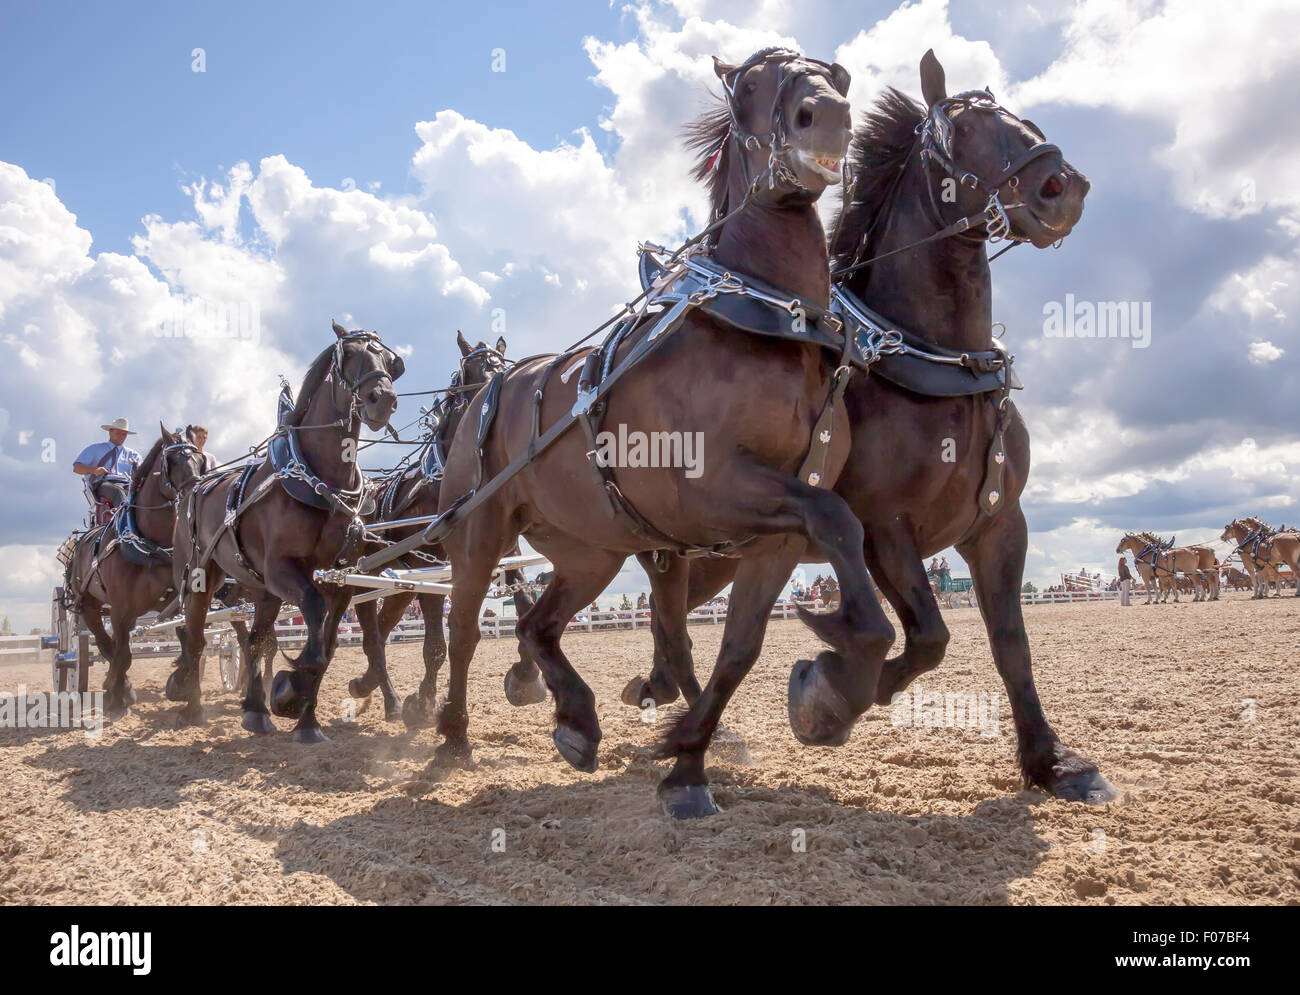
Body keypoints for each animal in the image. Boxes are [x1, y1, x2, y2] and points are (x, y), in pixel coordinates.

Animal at [62, 426, 206, 717]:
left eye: (199, 459)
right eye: (172, 461)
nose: (196, 490)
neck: (152, 543)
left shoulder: (179, 602)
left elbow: (189, 643)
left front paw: (181, 687)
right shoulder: (120, 609)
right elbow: (123, 654)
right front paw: (115, 696)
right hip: (89, 605)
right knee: (105, 644)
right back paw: (115, 688)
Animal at [164, 321, 404, 739]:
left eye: (390, 361)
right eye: (349, 355)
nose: (383, 399)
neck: (321, 481)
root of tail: (191, 490)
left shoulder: (340, 578)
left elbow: (326, 644)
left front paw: (304, 716)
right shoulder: (283, 569)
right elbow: (313, 614)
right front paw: (293, 687)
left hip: (262, 589)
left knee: (256, 641)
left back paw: (256, 711)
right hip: (199, 579)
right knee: (194, 639)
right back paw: (192, 707)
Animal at [344, 331, 543, 722]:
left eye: (502, 366)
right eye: (471, 373)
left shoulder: (505, 552)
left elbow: (526, 603)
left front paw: (527, 679)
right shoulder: (432, 567)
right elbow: (435, 643)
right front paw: (423, 704)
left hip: (400, 586)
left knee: (382, 630)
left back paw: (366, 685)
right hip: (366, 576)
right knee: (372, 636)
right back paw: (386, 696)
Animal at [422, 47, 882, 818]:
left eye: (839, 76)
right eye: (750, 84)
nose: (827, 115)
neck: (770, 323)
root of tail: (495, 387)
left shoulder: (775, 534)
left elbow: (739, 645)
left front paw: (691, 761)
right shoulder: (710, 491)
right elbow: (837, 518)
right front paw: (843, 662)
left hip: (591, 549)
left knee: (537, 625)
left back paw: (576, 719)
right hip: (481, 531)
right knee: (461, 630)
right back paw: (452, 734)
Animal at [616, 50, 1114, 803]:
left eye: (1016, 114)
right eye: (963, 124)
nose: (1064, 187)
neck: (941, 364)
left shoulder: (1001, 523)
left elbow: (1011, 645)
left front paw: (1049, 760)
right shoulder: (885, 527)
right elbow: (931, 634)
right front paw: (827, 697)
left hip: (723, 551)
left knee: (669, 618)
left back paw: (666, 703)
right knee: (668, 616)